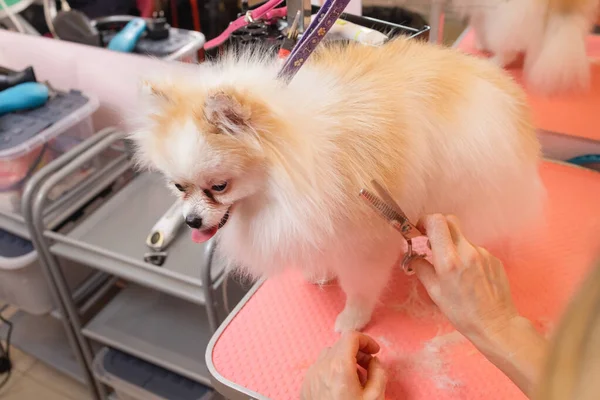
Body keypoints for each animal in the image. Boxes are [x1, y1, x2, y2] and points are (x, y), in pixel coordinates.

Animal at [130, 38, 544, 332]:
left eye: (219, 187)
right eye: (179, 187)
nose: (192, 221)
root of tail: (500, 86)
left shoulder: (364, 239)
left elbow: (360, 288)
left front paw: (352, 320)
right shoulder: (318, 218)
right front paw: (320, 271)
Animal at [454, 0, 600, 95]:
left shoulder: (479, 11)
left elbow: (478, 26)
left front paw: (480, 44)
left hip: (508, 16)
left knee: (508, 52)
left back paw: (492, 61)